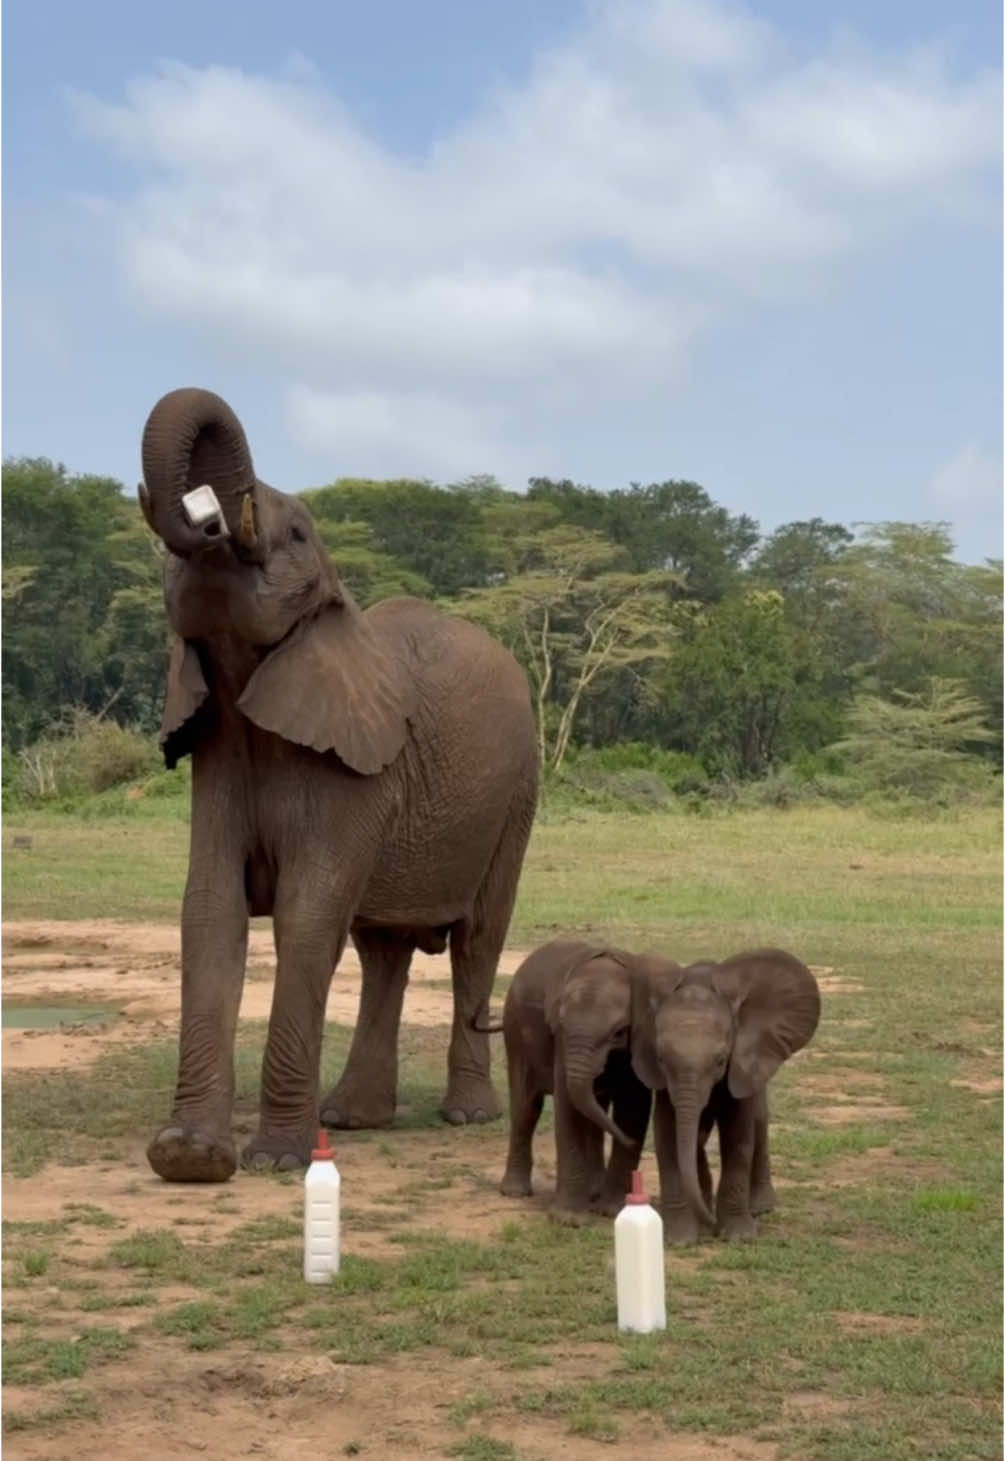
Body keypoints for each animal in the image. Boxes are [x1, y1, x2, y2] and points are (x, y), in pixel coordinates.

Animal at [139, 391, 540, 1186]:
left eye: (296, 532)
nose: (207, 518)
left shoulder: (351, 777)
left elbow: (304, 916)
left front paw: (273, 1159)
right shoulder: (219, 753)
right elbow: (210, 910)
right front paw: (188, 1157)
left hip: (518, 790)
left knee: (478, 937)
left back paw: (465, 1115)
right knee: (381, 950)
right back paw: (354, 1117)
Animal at [493, 940, 666, 1215]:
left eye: (619, 1032)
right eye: (560, 1025)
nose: (631, 1142)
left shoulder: (641, 1038)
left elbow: (633, 1106)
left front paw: (612, 1210)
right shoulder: (562, 1041)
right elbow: (567, 1104)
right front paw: (568, 1218)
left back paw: (594, 1192)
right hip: (515, 1029)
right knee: (526, 1108)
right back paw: (515, 1193)